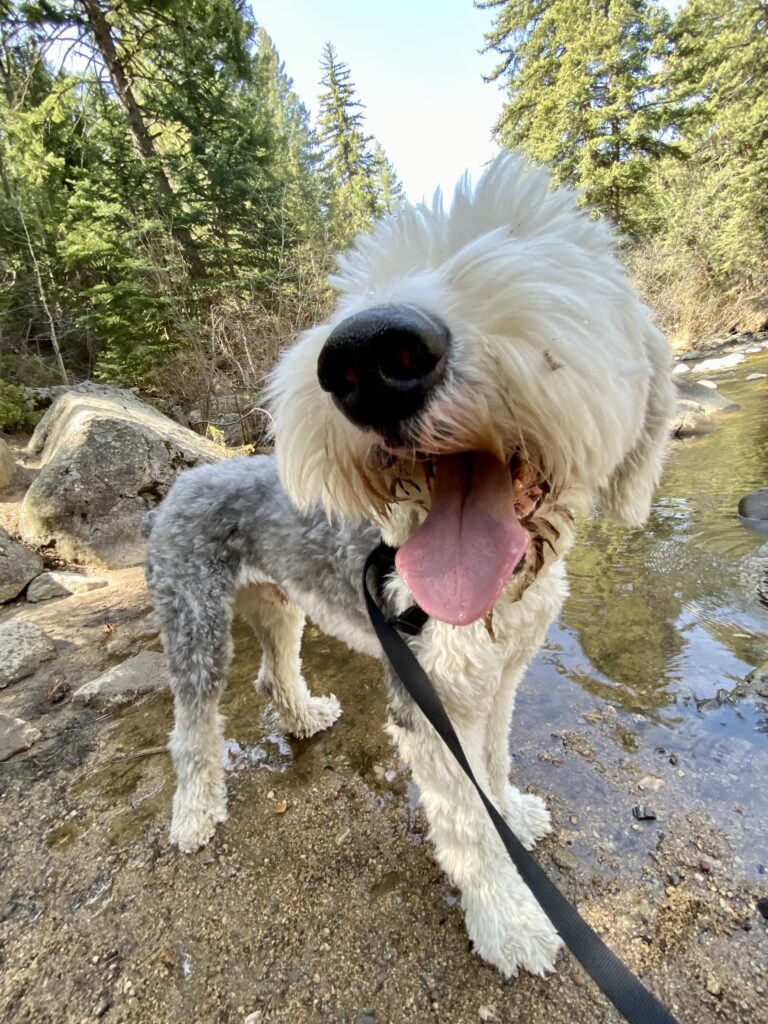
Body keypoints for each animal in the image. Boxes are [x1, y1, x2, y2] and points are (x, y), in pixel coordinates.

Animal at [144, 151, 671, 974]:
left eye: (526, 243)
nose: (368, 353)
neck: (501, 599)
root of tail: (189, 475)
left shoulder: (499, 682)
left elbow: (494, 765)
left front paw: (514, 813)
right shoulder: (430, 698)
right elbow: (466, 823)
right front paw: (507, 921)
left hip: (279, 604)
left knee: (276, 670)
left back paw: (306, 715)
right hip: (194, 621)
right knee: (192, 727)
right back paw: (196, 813)